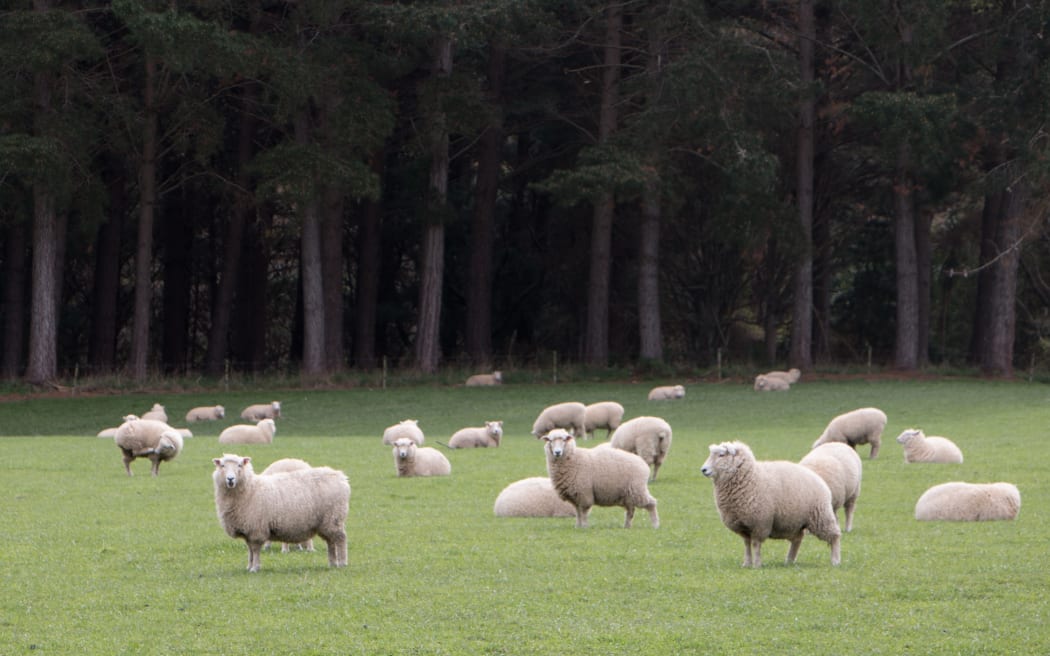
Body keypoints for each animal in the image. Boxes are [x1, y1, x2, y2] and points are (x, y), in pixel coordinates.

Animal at [212, 454, 350, 572]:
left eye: (240, 465)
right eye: (222, 465)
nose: (230, 479)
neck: (250, 489)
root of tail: (341, 477)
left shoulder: (256, 528)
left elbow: (255, 549)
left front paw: (255, 568)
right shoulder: (248, 529)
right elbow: (250, 550)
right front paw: (249, 566)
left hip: (334, 517)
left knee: (340, 539)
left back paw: (342, 563)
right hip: (326, 522)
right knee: (330, 541)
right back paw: (333, 563)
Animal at [701, 440, 841, 567]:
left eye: (721, 455)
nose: (703, 470)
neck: (750, 477)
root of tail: (818, 478)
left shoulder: (759, 523)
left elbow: (755, 545)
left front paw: (757, 564)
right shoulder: (743, 525)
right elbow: (746, 545)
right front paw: (746, 563)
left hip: (820, 516)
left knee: (834, 536)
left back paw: (835, 561)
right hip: (795, 522)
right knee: (797, 539)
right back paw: (789, 561)